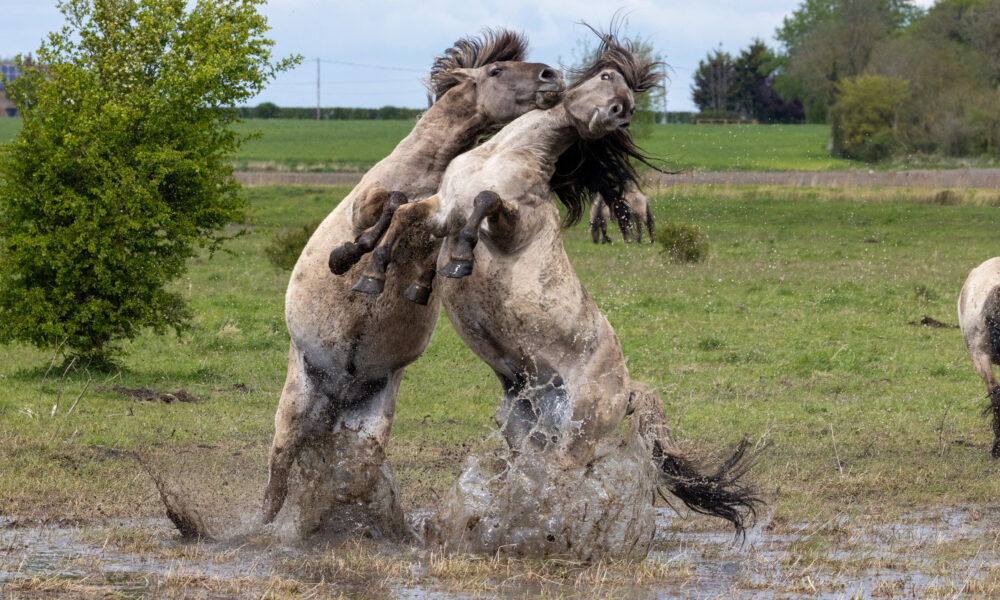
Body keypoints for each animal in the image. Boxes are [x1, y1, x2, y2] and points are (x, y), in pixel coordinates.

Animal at [262, 29, 568, 540]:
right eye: (497, 70)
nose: (552, 76)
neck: (426, 166)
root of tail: (336, 393)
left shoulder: (440, 221)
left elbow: (423, 232)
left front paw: (408, 279)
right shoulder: (366, 204)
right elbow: (390, 204)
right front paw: (350, 257)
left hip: (371, 412)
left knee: (354, 470)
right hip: (297, 398)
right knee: (280, 472)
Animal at [348, 28, 760, 536]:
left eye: (630, 103)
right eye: (607, 78)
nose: (618, 112)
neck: (501, 156)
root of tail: (627, 390)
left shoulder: (510, 223)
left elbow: (485, 202)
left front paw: (459, 261)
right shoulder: (443, 207)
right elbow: (405, 215)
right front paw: (366, 269)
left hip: (576, 438)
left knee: (569, 486)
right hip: (524, 428)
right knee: (539, 475)